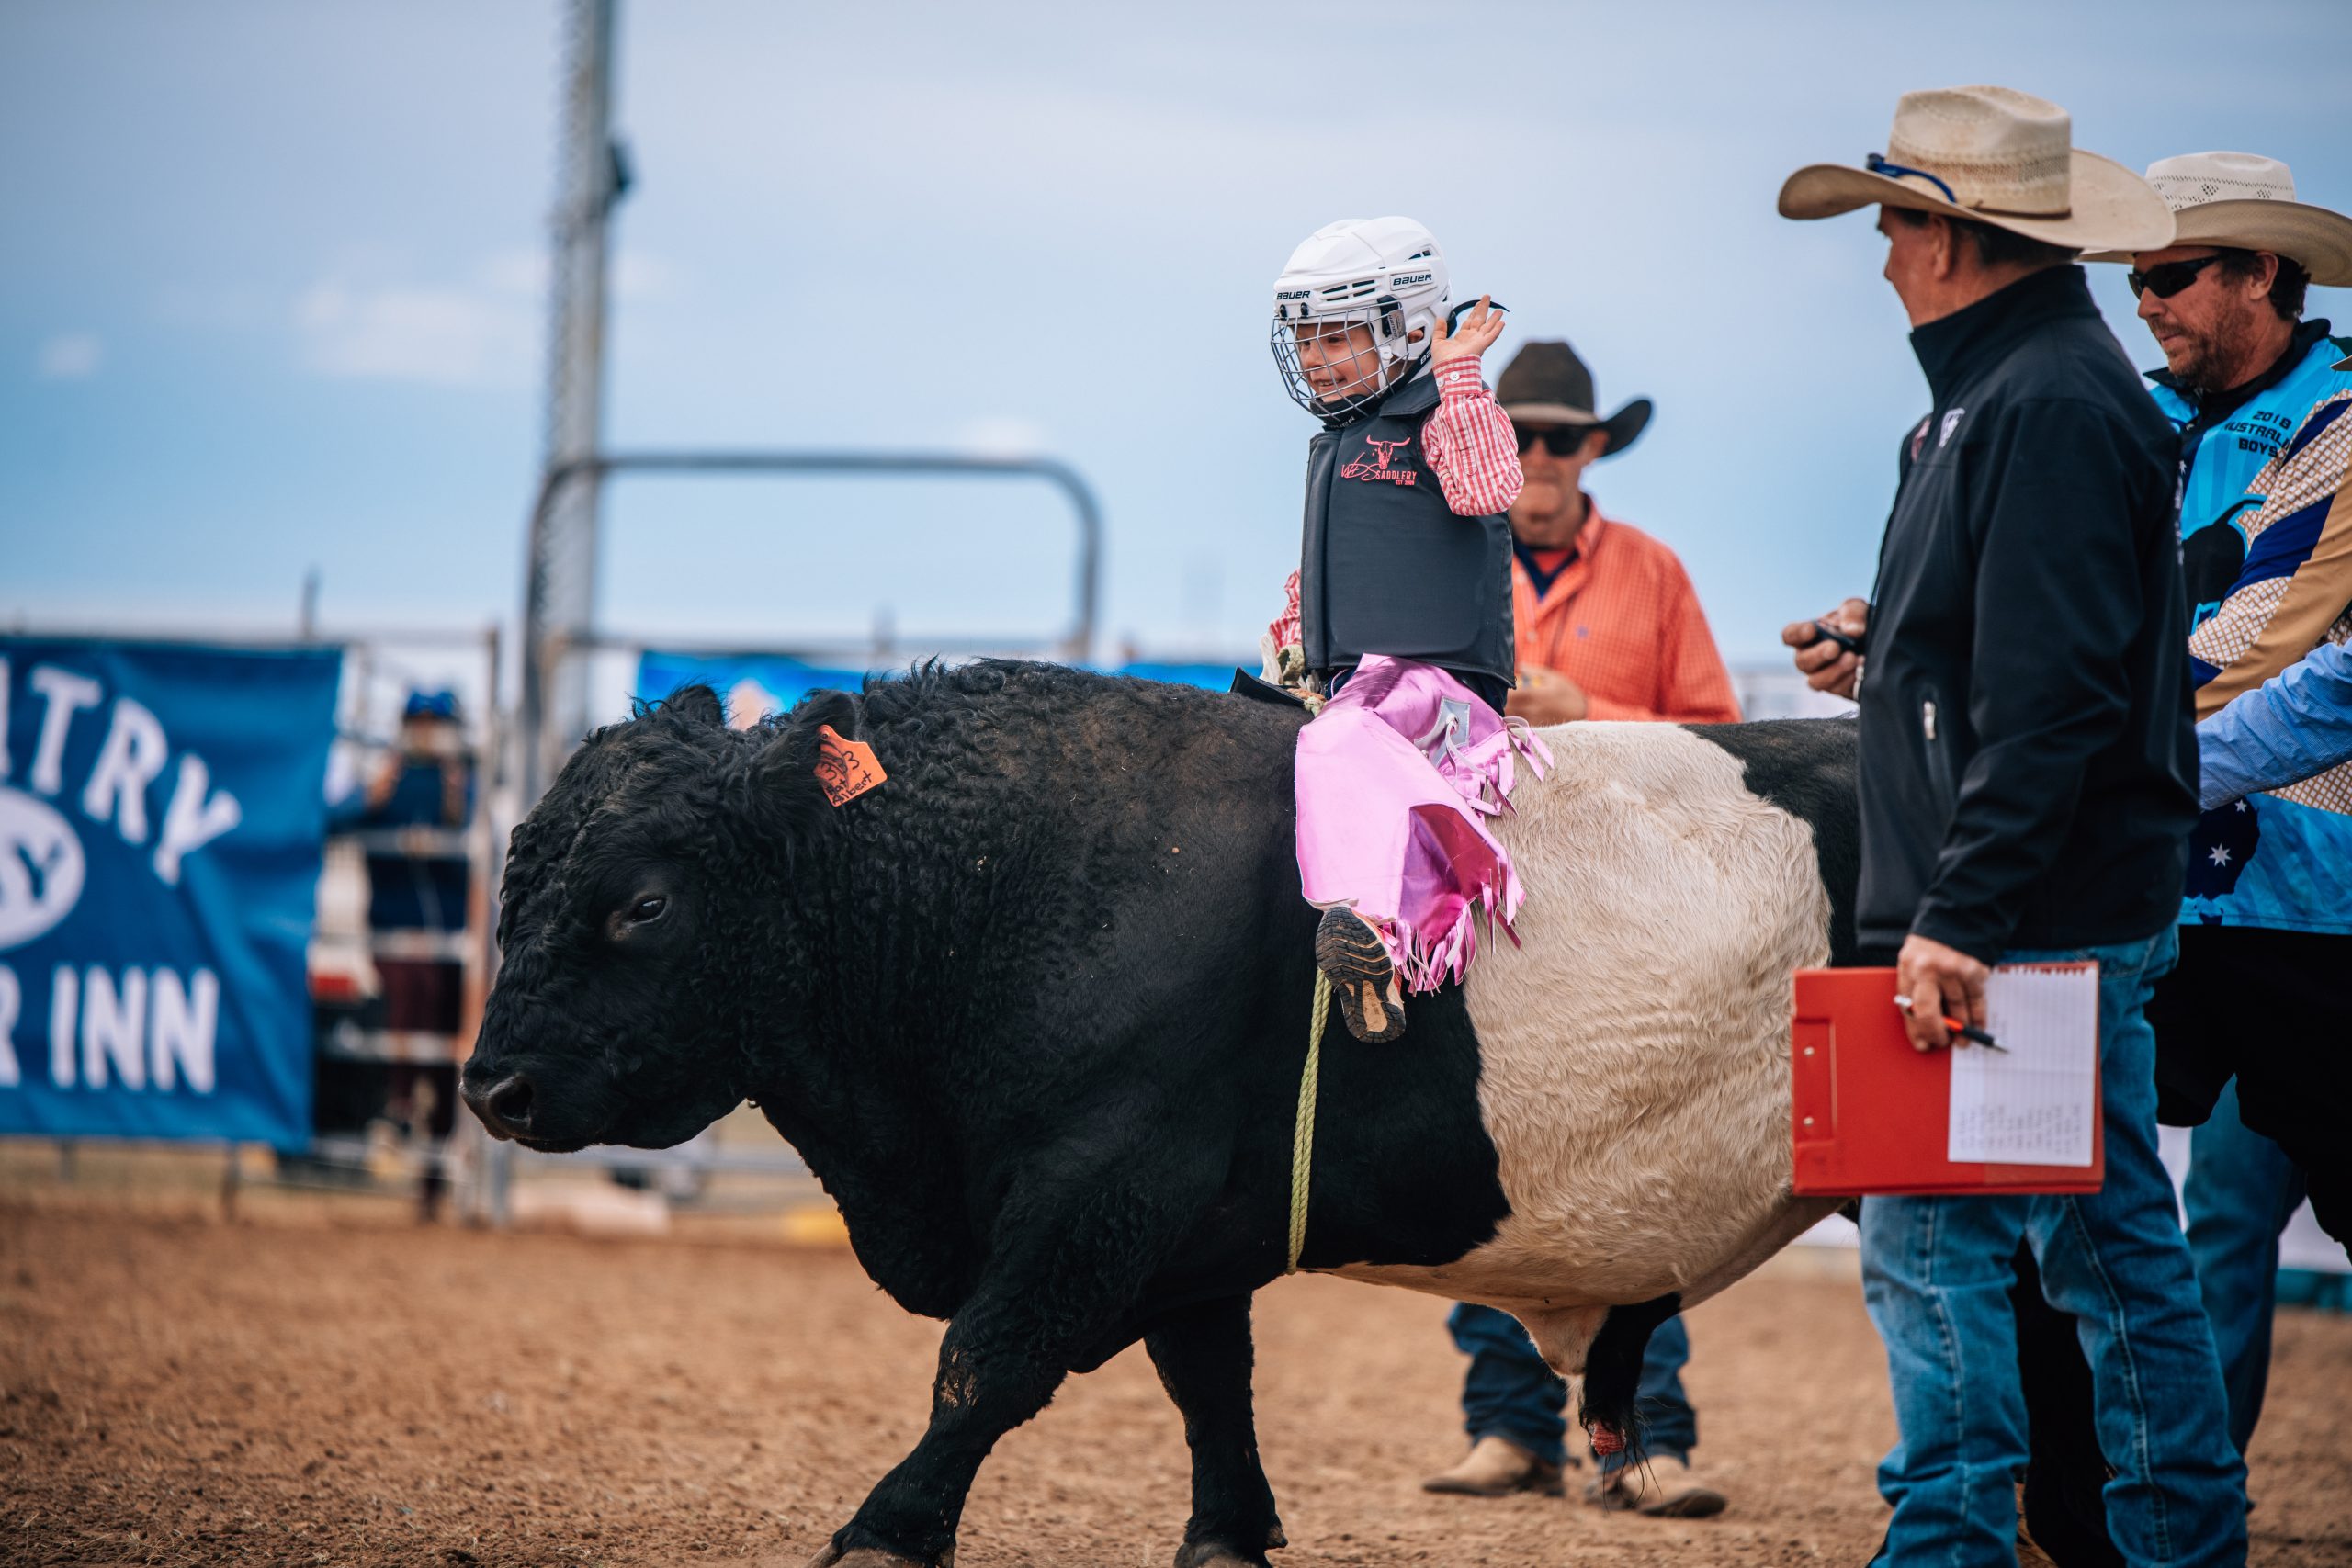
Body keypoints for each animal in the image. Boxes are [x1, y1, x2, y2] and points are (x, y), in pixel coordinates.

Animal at [463, 660, 1861, 1568]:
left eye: (643, 902)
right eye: (516, 868)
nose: (489, 1087)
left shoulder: (1104, 1181)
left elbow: (984, 1365)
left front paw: (886, 1529)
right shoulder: (1189, 1226)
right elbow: (1206, 1382)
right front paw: (1229, 1532)